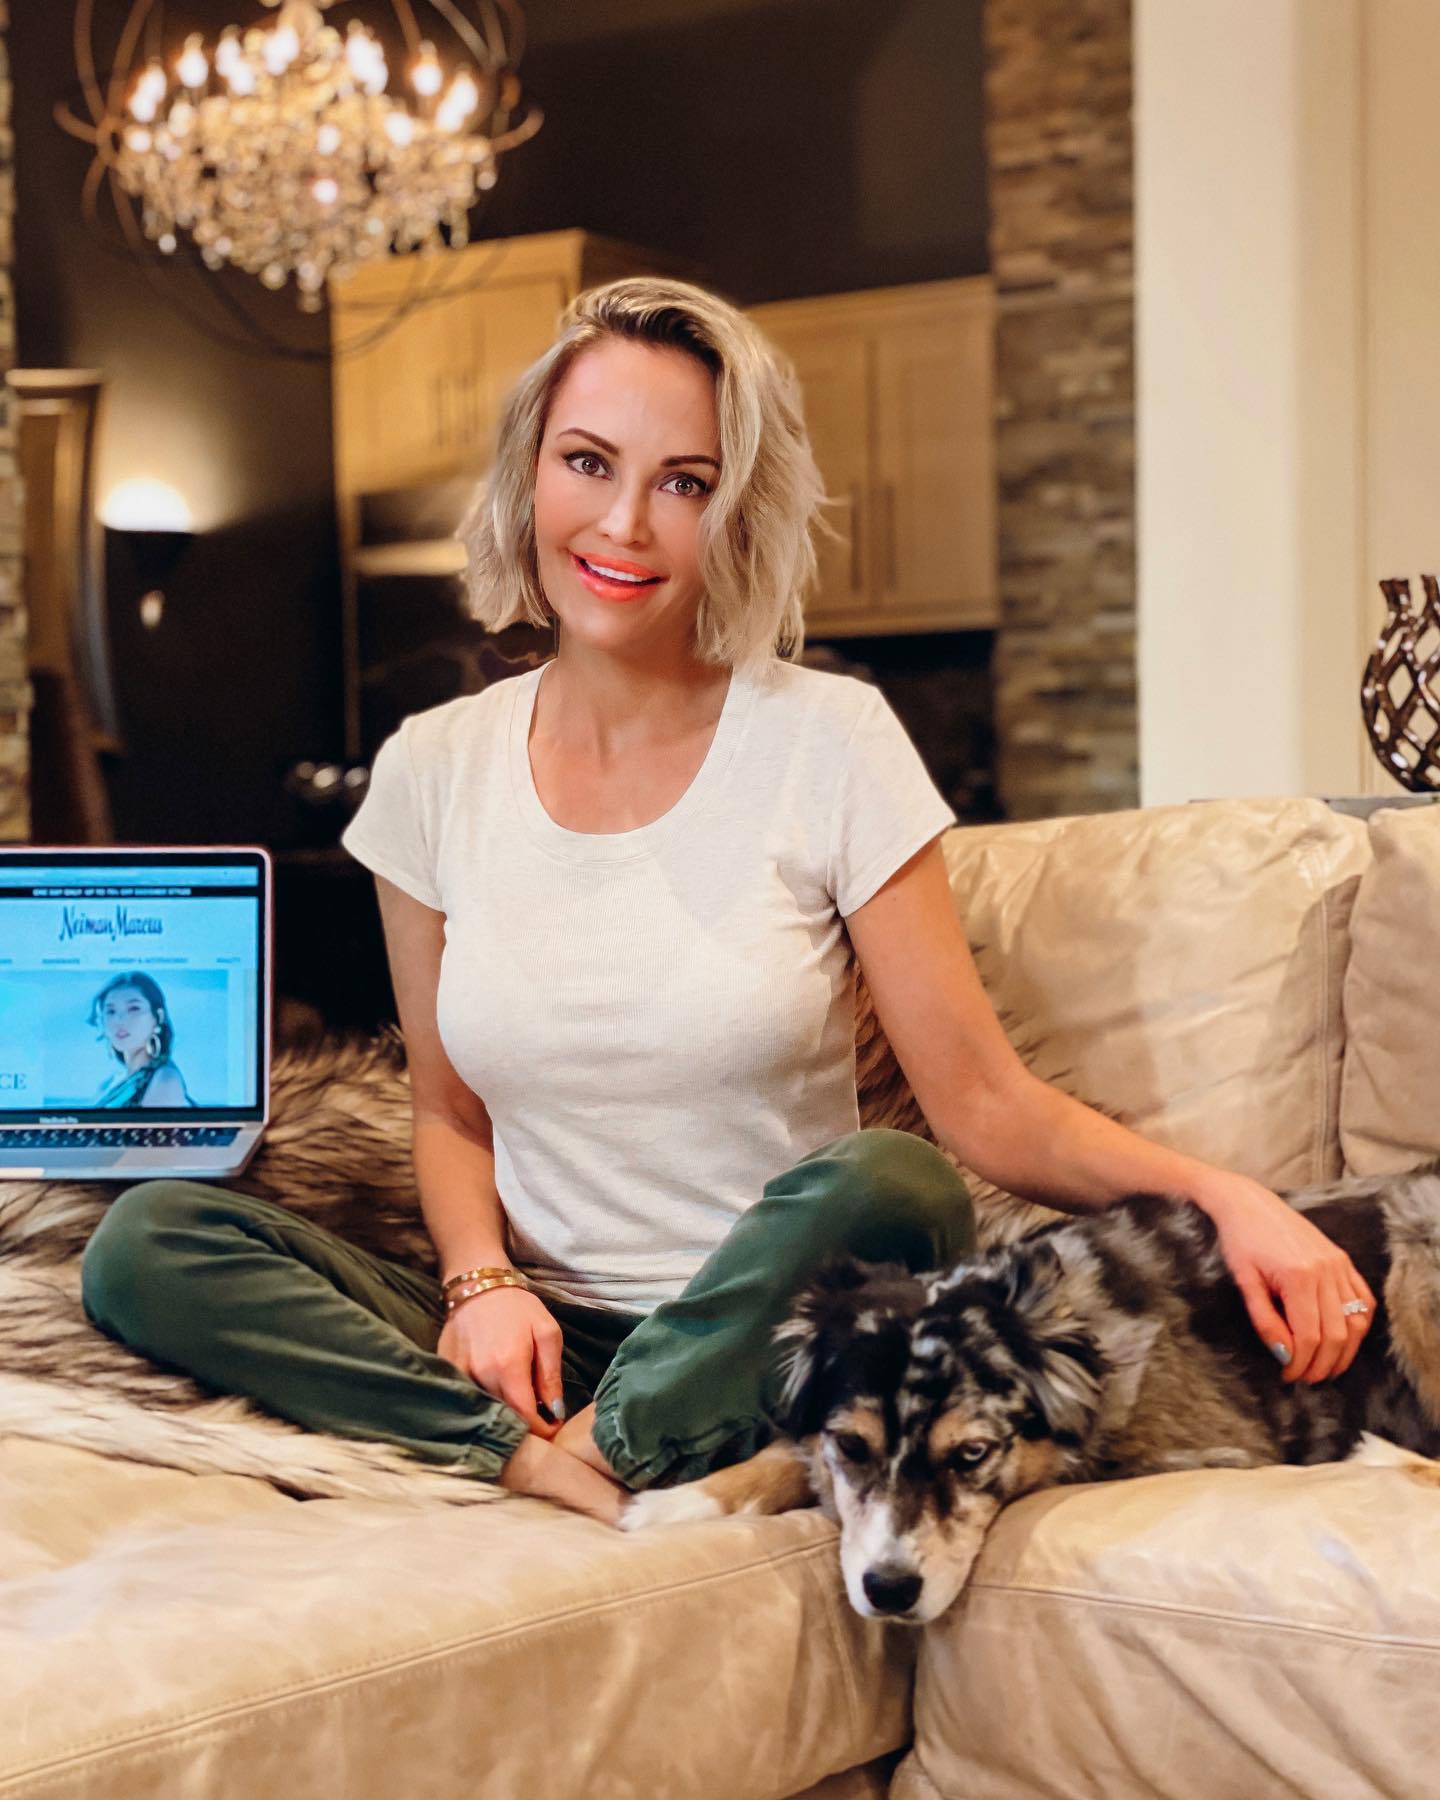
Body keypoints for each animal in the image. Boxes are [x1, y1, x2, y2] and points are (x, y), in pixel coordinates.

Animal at [622, 1166, 1440, 1634]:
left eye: (972, 1454)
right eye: (852, 1445)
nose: (888, 1591)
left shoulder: (1217, 1449)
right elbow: (786, 1451)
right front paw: (681, 1503)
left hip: (1415, 1251)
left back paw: (1374, 1456)